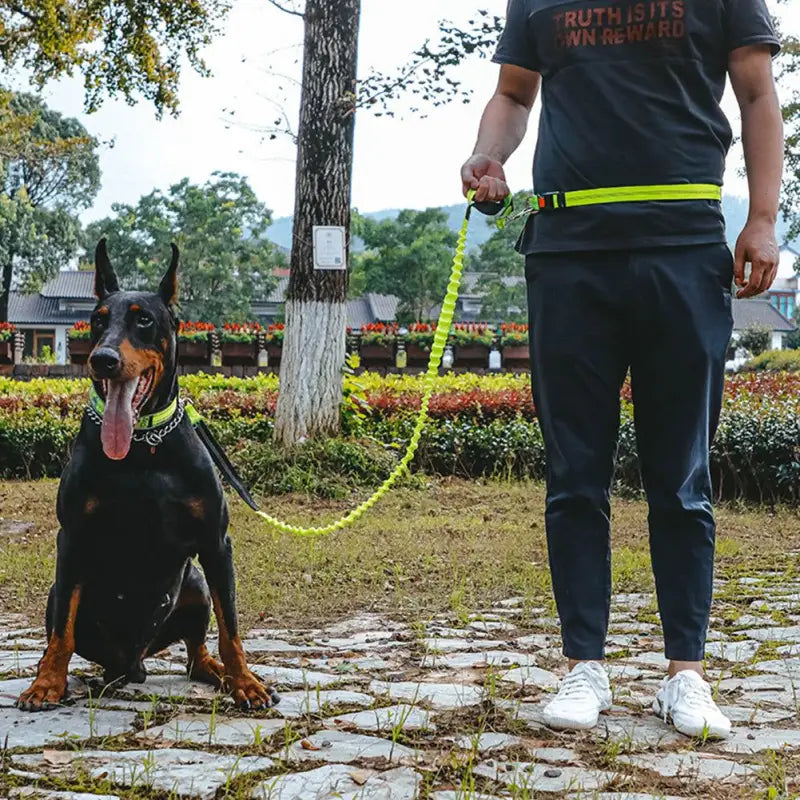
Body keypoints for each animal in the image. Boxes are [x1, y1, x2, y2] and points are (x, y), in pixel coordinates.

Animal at [16, 239, 278, 712]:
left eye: (143, 319)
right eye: (98, 321)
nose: (102, 360)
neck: (143, 447)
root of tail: (133, 661)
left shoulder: (216, 543)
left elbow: (230, 627)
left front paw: (245, 682)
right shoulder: (73, 538)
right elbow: (61, 631)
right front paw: (47, 683)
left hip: (195, 583)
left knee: (196, 652)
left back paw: (219, 673)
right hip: (62, 590)